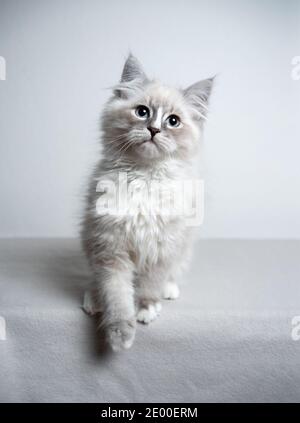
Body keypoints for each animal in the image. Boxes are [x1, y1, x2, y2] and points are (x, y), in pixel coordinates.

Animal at [81, 53, 213, 352]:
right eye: (142, 112)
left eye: (173, 121)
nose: (153, 129)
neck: (145, 176)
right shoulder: (111, 246)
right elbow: (116, 294)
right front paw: (120, 334)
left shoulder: (164, 245)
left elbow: (151, 282)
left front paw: (146, 308)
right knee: (94, 279)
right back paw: (93, 301)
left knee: (172, 274)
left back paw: (169, 290)